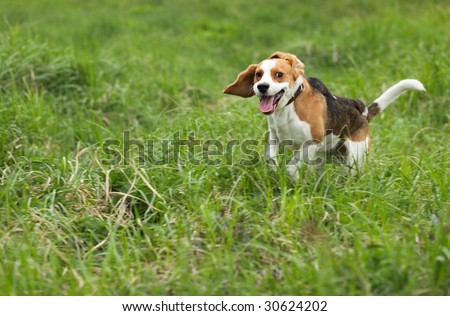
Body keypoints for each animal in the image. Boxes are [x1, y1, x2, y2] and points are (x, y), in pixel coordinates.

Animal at [224, 53, 426, 179]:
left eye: (278, 74)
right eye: (258, 75)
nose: (261, 87)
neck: (288, 109)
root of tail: (363, 113)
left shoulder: (313, 142)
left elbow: (291, 166)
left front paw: (294, 179)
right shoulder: (275, 137)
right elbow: (270, 158)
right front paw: (275, 172)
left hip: (354, 159)